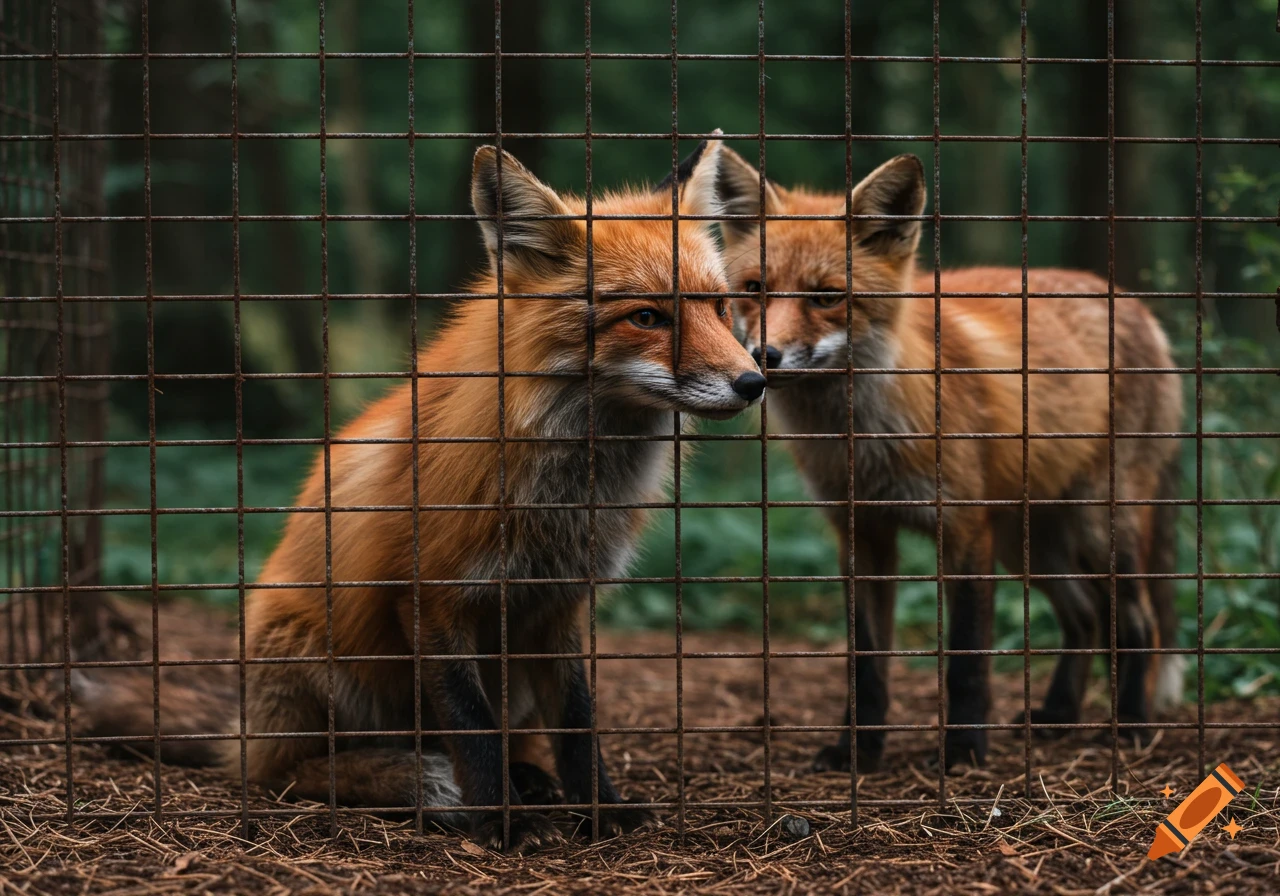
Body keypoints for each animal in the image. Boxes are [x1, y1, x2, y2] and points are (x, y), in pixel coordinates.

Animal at [78, 139, 765, 853]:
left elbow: (577, 725)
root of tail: (246, 729)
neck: (564, 497)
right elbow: (471, 728)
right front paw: (501, 821)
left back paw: (526, 779)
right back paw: (413, 782)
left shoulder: (561, 603)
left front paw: (600, 810)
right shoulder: (432, 599)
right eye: (647, 317)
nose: (754, 381)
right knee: (287, 772)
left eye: (721, 308)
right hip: (313, 661)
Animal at [712, 146, 1184, 772]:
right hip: (1029, 542)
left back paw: (1131, 723)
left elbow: (965, 660)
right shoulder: (861, 535)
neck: (864, 443)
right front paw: (858, 751)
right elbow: (866, 665)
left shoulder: (963, 530)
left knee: (1137, 621)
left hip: (1096, 524)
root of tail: (1132, 304)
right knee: (1084, 616)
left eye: (827, 296)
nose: (764, 356)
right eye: (754, 287)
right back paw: (1059, 714)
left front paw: (963, 749)